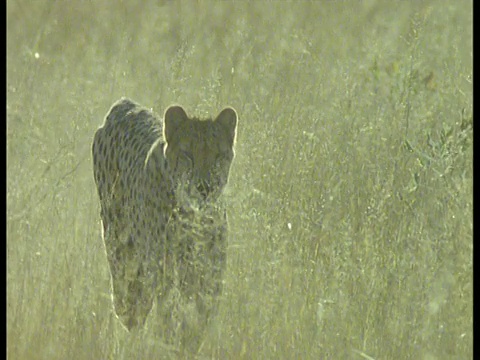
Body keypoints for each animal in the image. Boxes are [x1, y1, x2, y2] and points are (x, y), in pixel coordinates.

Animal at [91, 97, 238, 338]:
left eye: (218, 156)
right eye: (188, 155)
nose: (204, 188)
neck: (193, 216)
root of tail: (124, 104)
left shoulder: (209, 275)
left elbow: (199, 318)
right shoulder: (165, 272)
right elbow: (169, 316)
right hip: (121, 251)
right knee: (129, 303)